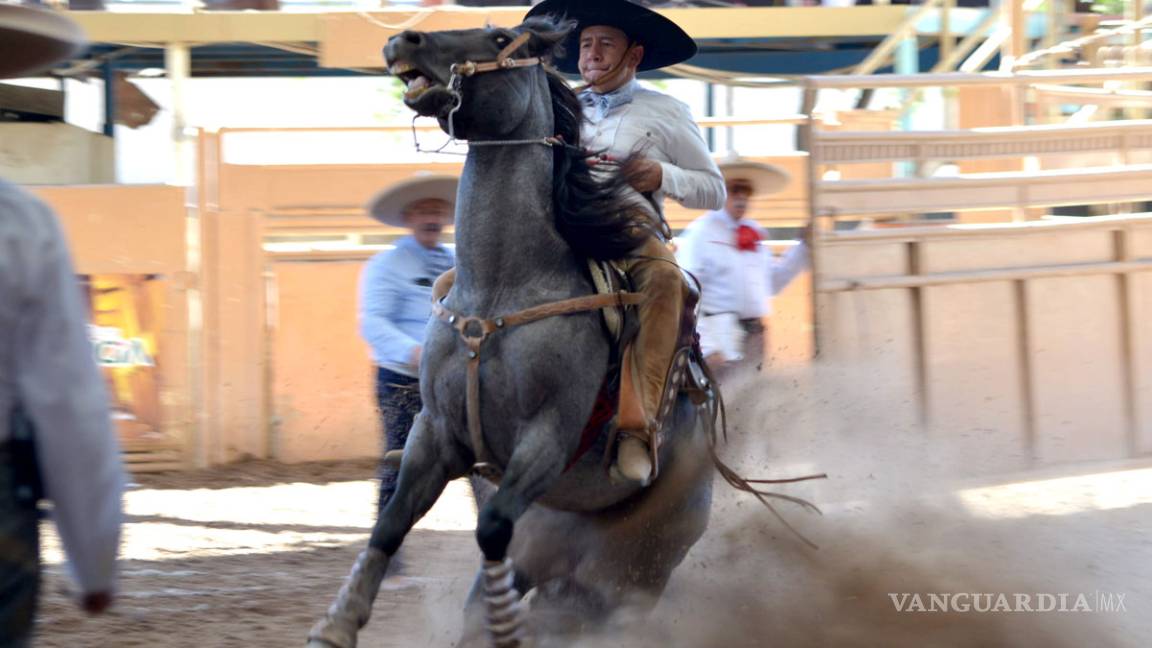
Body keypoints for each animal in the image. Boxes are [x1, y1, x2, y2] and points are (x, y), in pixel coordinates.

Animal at [311, 15, 806, 645]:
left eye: (500, 39)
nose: (406, 39)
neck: (502, 288)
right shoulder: (435, 430)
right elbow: (393, 521)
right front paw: (337, 623)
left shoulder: (549, 435)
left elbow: (492, 526)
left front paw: (506, 627)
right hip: (553, 549)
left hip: (631, 575)